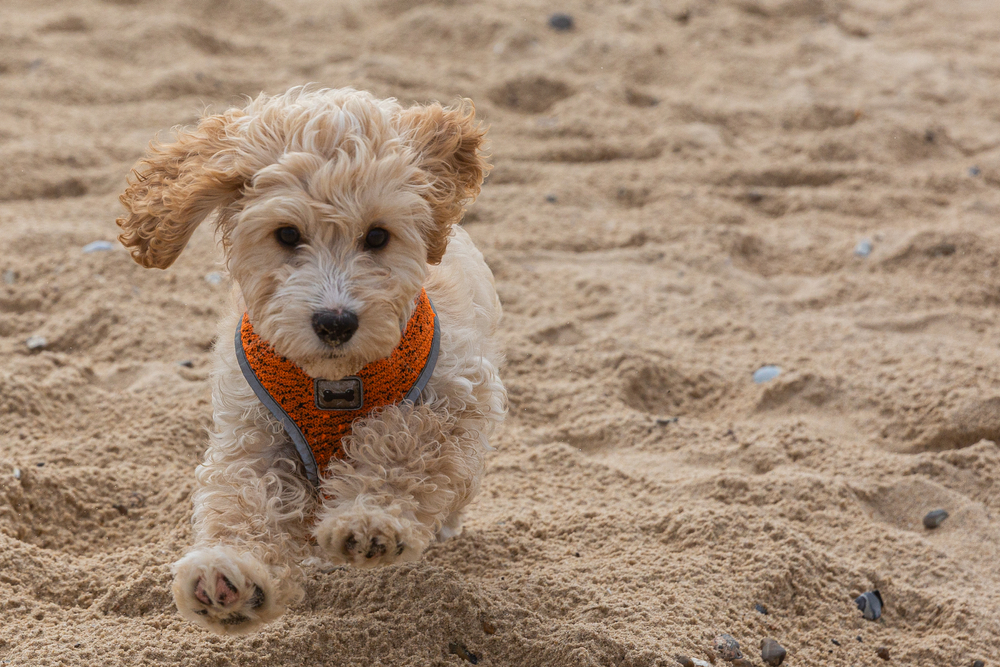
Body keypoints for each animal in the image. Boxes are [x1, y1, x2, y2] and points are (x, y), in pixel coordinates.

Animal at [116, 86, 504, 636]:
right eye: (286, 234)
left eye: (378, 236)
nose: (335, 322)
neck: (331, 379)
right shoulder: (253, 428)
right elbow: (243, 496)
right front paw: (230, 572)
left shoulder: (455, 391)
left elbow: (403, 444)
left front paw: (368, 519)